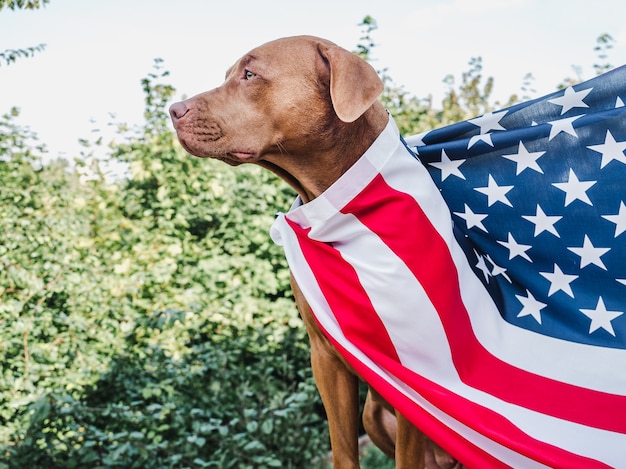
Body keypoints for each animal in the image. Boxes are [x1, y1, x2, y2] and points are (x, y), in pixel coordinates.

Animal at [168, 34, 456, 466]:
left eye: (249, 74)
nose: (173, 111)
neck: (336, 208)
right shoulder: (324, 354)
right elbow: (343, 449)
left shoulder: (417, 369)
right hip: (372, 413)